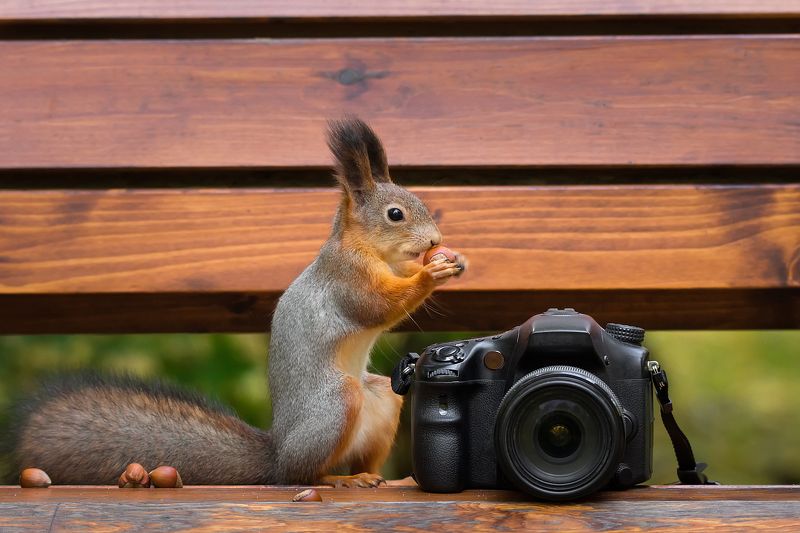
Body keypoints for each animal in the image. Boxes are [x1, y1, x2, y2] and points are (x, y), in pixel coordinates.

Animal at [7, 117, 466, 487]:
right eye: (395, 214)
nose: (435, 241)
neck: (369, 249)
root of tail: (278, 455)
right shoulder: (345, 278)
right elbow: (376, 307)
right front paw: (430, 274)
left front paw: (448, 260)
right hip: (337, 405)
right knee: (303, 474)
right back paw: (338, 480)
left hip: (383, 399)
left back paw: (389, 477)